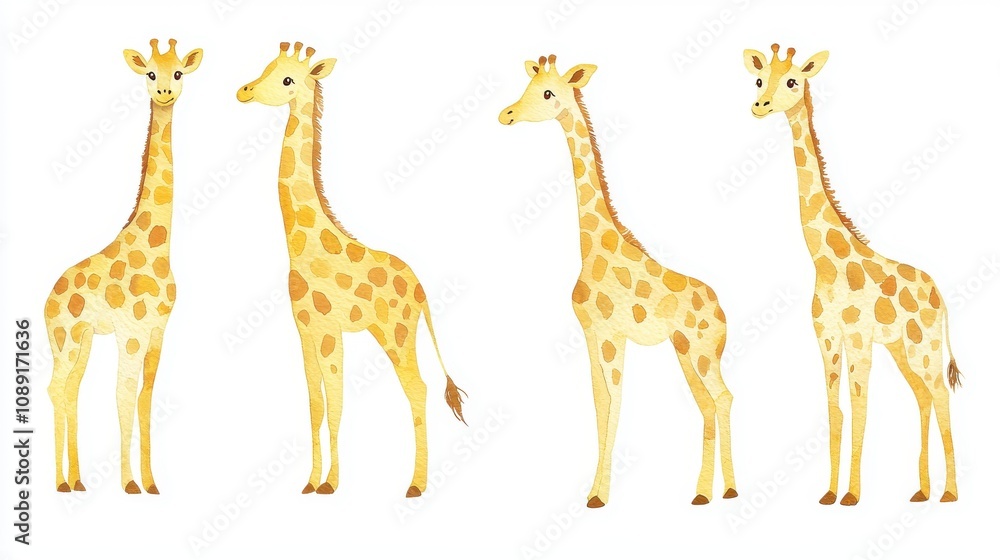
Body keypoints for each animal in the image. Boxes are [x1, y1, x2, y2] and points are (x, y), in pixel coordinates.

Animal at [44, 39, 202, 494]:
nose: (164, 93)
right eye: (150, 72)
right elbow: (123, 396)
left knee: (70, 390)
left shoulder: (157, 332)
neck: (158, 248)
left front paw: (151, 482)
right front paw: (129, 484)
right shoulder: (131, 332)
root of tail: (47, 299)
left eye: (178, 72)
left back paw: (76, 481)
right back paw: (61, 482)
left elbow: (145, 398)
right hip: (62, 339)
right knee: (55, 388)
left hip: (81, 342)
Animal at [237, 42, 467, 497]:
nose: (245, 90)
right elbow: (315, 404)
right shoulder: (305, 330)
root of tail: (422, 291)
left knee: (418, 389)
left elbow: (337, 403)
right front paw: (310, 482)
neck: (301, 246)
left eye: (287, 78)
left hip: (397, 334)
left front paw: (331, 484)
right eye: (267, 67)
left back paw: (416, 485)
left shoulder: (329, 331)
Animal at [499, 55, 737, 508]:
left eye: (548, 92)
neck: (593, 246)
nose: (508, 114)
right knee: (707, 404)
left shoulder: (613, 336)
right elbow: (599, 405)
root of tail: (723, 310)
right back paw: (701, 494)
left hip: (702, 352)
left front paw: (599, 496)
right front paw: (592, 491)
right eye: (527, 86)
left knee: (723, 397)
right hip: (685, 351)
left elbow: (615, 403)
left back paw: (731, 489)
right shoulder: (591, 335)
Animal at [743, 44, 962, 505]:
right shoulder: (826, 337)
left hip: (926, 347)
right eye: (759, 78)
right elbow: (836, 413)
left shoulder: (859, 338)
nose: (760, 105)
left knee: (940, 397)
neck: (826, 263)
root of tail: (941, 296)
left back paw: (950, 493)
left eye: (793, 80)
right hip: (902, 348)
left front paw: (852, 495)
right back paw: (922, 490)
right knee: (922, 397)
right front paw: (829, 493)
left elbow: (860, 410)